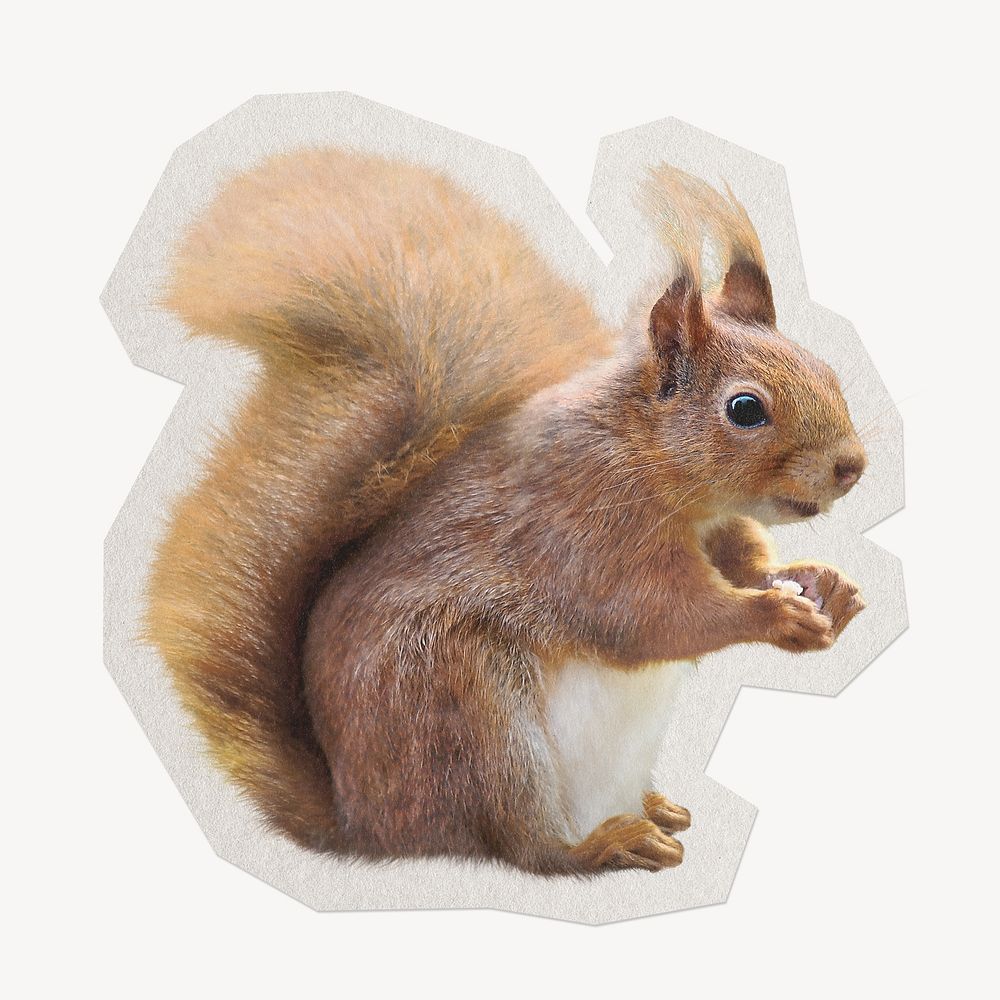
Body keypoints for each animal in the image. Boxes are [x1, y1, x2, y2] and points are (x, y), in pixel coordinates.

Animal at [146, 148, 867, 876]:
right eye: (745, 408)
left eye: (829, 372)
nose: (853, 465)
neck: (659, 474)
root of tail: (367, 828)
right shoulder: (585, 532)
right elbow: (656, 618)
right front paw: (774, 616)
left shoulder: (714, 530)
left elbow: (741, 564)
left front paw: (822, 586)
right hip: (470, 712)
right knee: (521, 847)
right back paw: (606, 843)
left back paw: (653, 808)